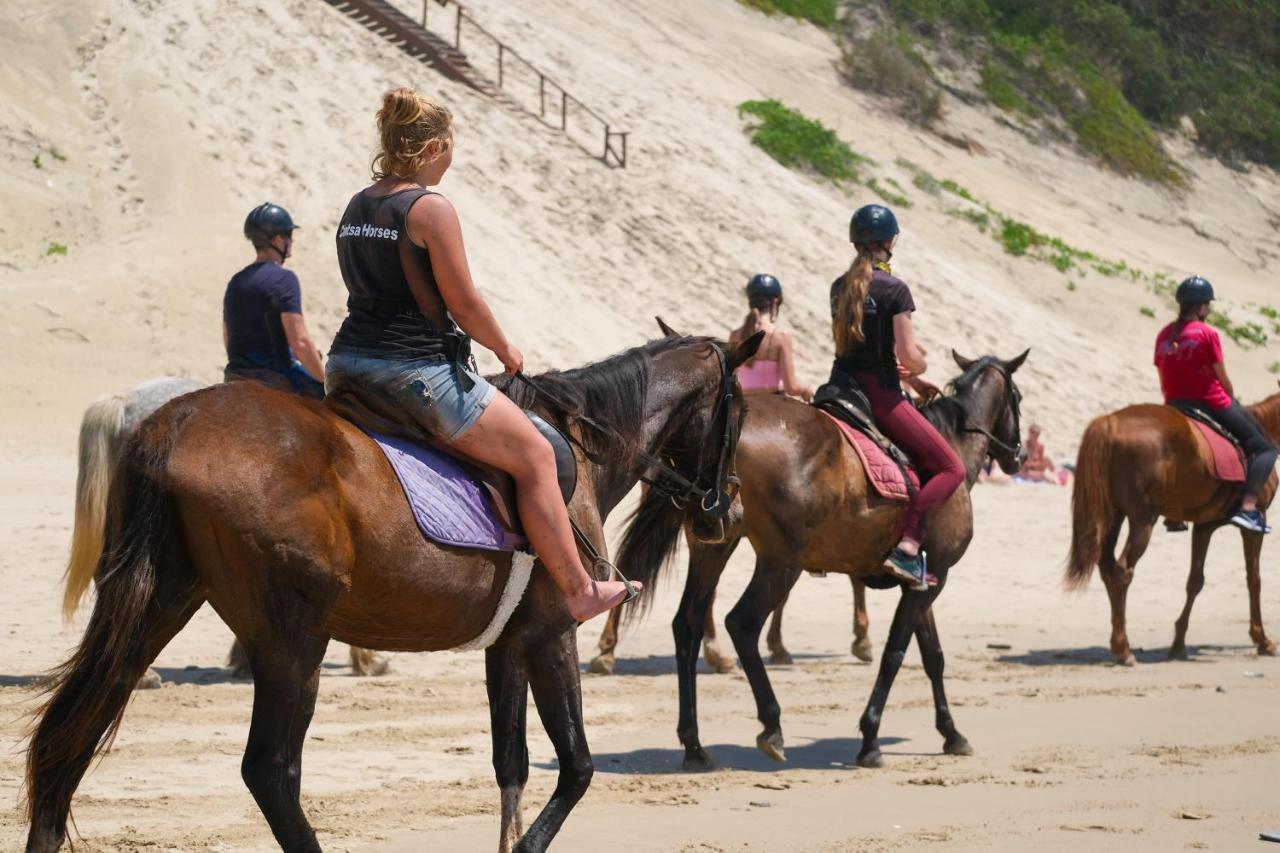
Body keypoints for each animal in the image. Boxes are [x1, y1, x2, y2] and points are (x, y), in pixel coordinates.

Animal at [24, 333, 757, 850]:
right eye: (742, 412)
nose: (727, 510)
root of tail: (170, 420)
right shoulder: (552, 635)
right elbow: (575, 766)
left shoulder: (509, 645)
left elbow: (512, 767)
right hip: (293, 642)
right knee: (272, 772)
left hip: (155, 610)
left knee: (70, 738)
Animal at [614, 348, 1024, 768]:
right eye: (1019, 399)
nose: (1018, 456)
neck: (951, 446)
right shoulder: (934, 578)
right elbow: (895, 654)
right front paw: (871, 737)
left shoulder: (924, 581)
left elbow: (933, 656)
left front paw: (951, 733)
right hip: (782, 562)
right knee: (742, 623)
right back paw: (771, 725)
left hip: (714, 544)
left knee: (688, 624)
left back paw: (694, 745)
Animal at [1059, 386, 1280, 666]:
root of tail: (1110, 422)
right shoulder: (1254, 525)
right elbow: (1254, 579)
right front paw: (1262, 639)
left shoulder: (1205, 526)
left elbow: (1195, 580)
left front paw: (1178, 644)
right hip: (1142, 519)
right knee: (1122, 572)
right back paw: (1123, 649)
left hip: (1114, 516)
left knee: (1107, 568)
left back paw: (1119, 643)